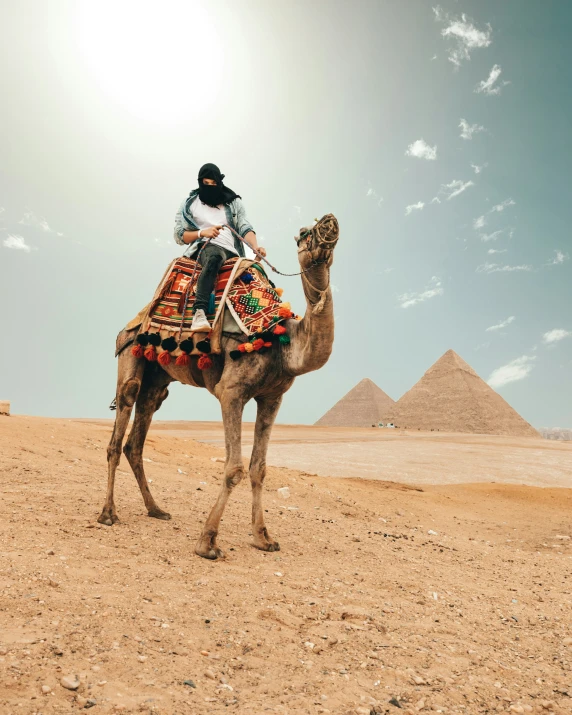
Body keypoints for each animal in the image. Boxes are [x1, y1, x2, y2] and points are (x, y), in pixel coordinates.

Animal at [98, 213, 340, 560]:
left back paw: (156, 509)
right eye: (303, 233)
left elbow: (259, 468)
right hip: (130, 352)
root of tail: (133, 321)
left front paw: (264, 538)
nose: (330, 222)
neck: (282, 340)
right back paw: (108, 513)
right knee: (121, 422)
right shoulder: (232, 392)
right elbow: (234, 468)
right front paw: (207, 542)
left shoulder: (272, 397)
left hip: (157, 380)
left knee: (138, 435)